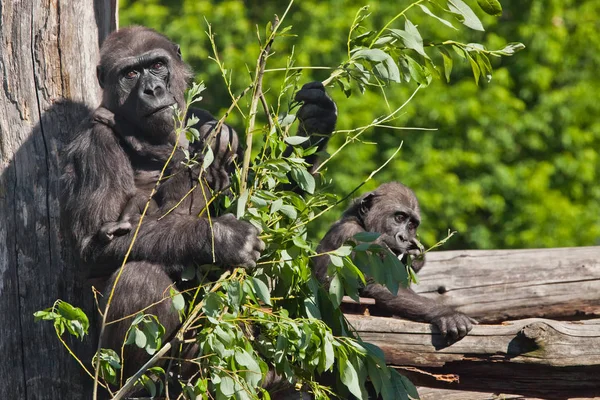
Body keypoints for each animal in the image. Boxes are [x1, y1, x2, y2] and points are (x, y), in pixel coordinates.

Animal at [62, 25, 338, 388]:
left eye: (157, 65)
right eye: (130, 74)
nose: (152, 89)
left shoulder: (207, 121)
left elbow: (271, 201)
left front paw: (315, 123)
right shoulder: (95, 144)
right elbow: (95, 247)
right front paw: (222, 239)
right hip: (108, 367)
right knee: (138, 281)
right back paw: (135, 384)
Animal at [314, 183, 478, 340]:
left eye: (411, 225)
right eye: (399, 218)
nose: (404, 237)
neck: (360, 222)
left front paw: (415, 257)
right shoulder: (356, 238)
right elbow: (377, 284)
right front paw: (447, 314)